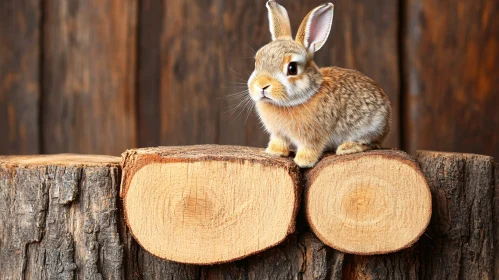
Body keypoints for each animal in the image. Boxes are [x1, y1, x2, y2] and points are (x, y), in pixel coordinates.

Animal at [248, 0, 392, 168]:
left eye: (292, 68)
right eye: (257, 62)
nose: (262, 85)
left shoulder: (313, 137)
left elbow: (310, 149)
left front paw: (303, 162)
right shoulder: (278, 134)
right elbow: (279, 142)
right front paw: (273, 152)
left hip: (372, 127)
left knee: (371, 143)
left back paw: (347, 147)